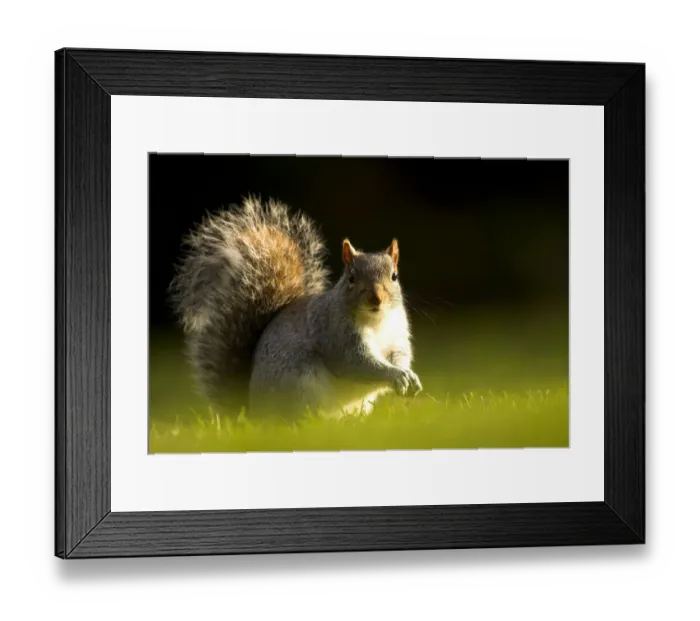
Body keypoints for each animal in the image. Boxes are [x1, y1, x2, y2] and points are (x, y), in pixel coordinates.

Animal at [171, 196, 422, 418]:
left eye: (394, 276)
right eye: (351, 278)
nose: (376, 299)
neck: (376, 320)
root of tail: (253, 410)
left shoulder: (397, 336)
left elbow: (400, 355)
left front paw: (408, 375)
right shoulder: (337, 335)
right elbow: (357, 363)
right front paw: (395, 375)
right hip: (302, 383)